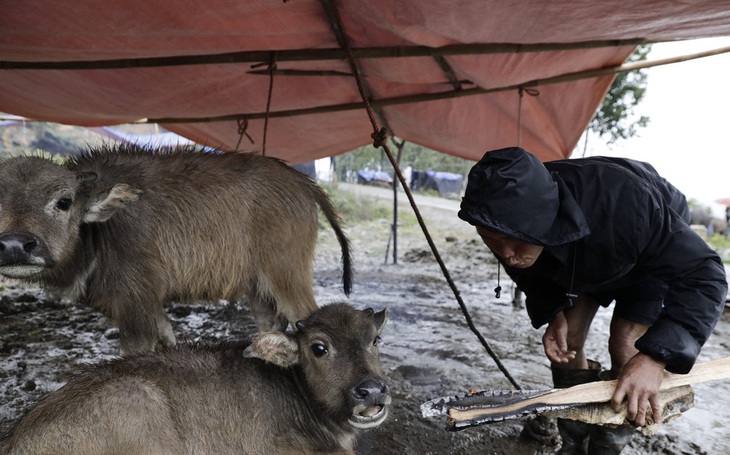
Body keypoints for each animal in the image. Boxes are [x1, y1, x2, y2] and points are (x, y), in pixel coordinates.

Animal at [0, 144, 350, 354]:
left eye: (64, 201)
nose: (15, 245)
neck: (100, 231)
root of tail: (303, 182)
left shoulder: (135, 305)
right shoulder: (150, 302)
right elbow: (166, 337)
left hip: (287, 276)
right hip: (259, 288)